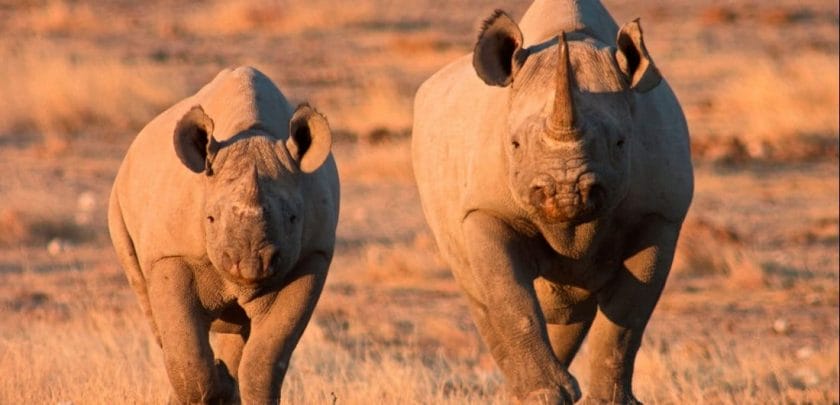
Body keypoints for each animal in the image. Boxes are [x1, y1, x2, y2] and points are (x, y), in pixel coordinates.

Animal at [108, 64, 338, 402]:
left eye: (293, 218)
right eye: (211, 218)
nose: (251, 263)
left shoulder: (311, 257)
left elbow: (265, 360)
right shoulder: (172, 254)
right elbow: (187, 354)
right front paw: (211, 388)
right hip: (119, 204)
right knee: (155, 313)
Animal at [410, 0, 692, 404]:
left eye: (621, 143)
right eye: (514, 144)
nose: (566, 191)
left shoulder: (659, 216)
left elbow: (627, 317)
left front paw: (606, 401)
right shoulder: (485, 210)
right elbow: (511, 300)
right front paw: (544, 394)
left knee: (571, 305)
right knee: (480, 294)